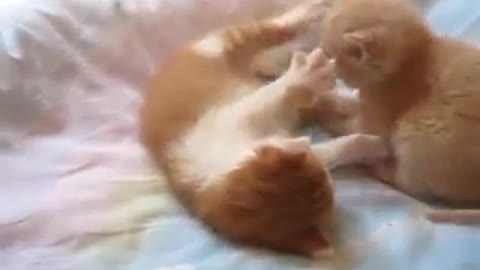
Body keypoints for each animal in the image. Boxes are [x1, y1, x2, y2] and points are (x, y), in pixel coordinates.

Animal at [140, 1, 386, 256]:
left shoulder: (239, 113)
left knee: (274, 29)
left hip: (225, 45)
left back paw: (312, 14)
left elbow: (276, 92)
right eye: (328, 183)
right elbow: (331, 148)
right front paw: (371, 145)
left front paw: (304, 78)